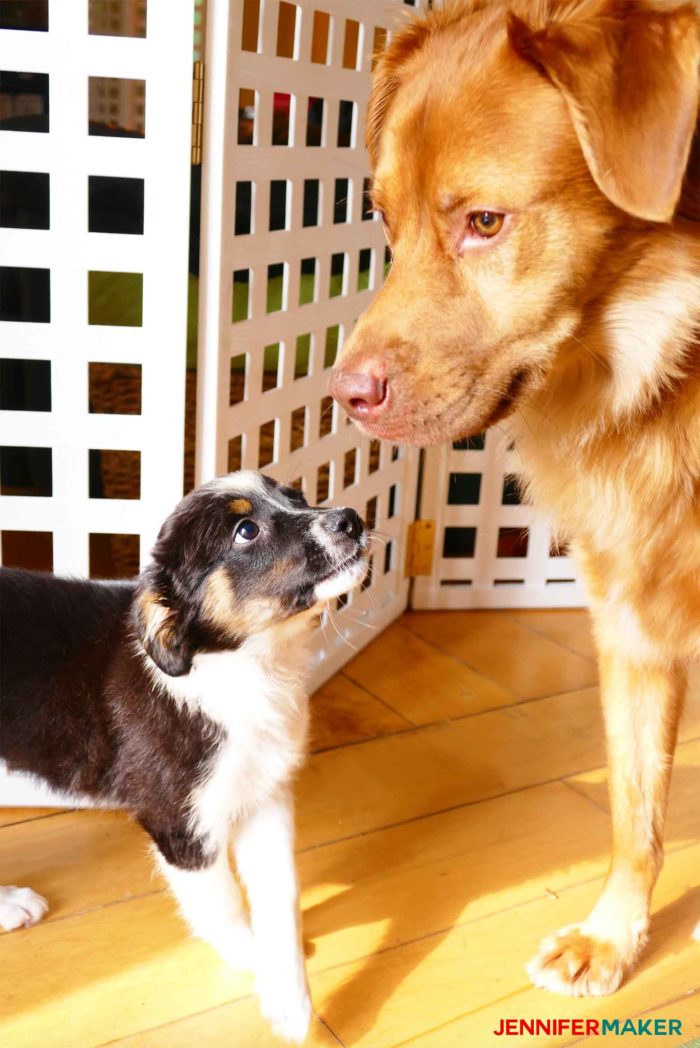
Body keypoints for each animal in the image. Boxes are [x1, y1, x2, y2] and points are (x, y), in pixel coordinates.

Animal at [0, 473, 368, 1039]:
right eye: (245, 530)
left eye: (298, 498)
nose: (351, 519)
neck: (245, 666)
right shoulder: (180, 821)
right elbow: (223, 903)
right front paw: (259, 969)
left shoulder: (264, 794)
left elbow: (280, 897)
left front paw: (291, 998)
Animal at [331, 0, 699, 997]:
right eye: (383, 217)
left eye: (486, 222)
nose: (346, 396)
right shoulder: (633, 621)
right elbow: (636, 808)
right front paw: (614, 936)